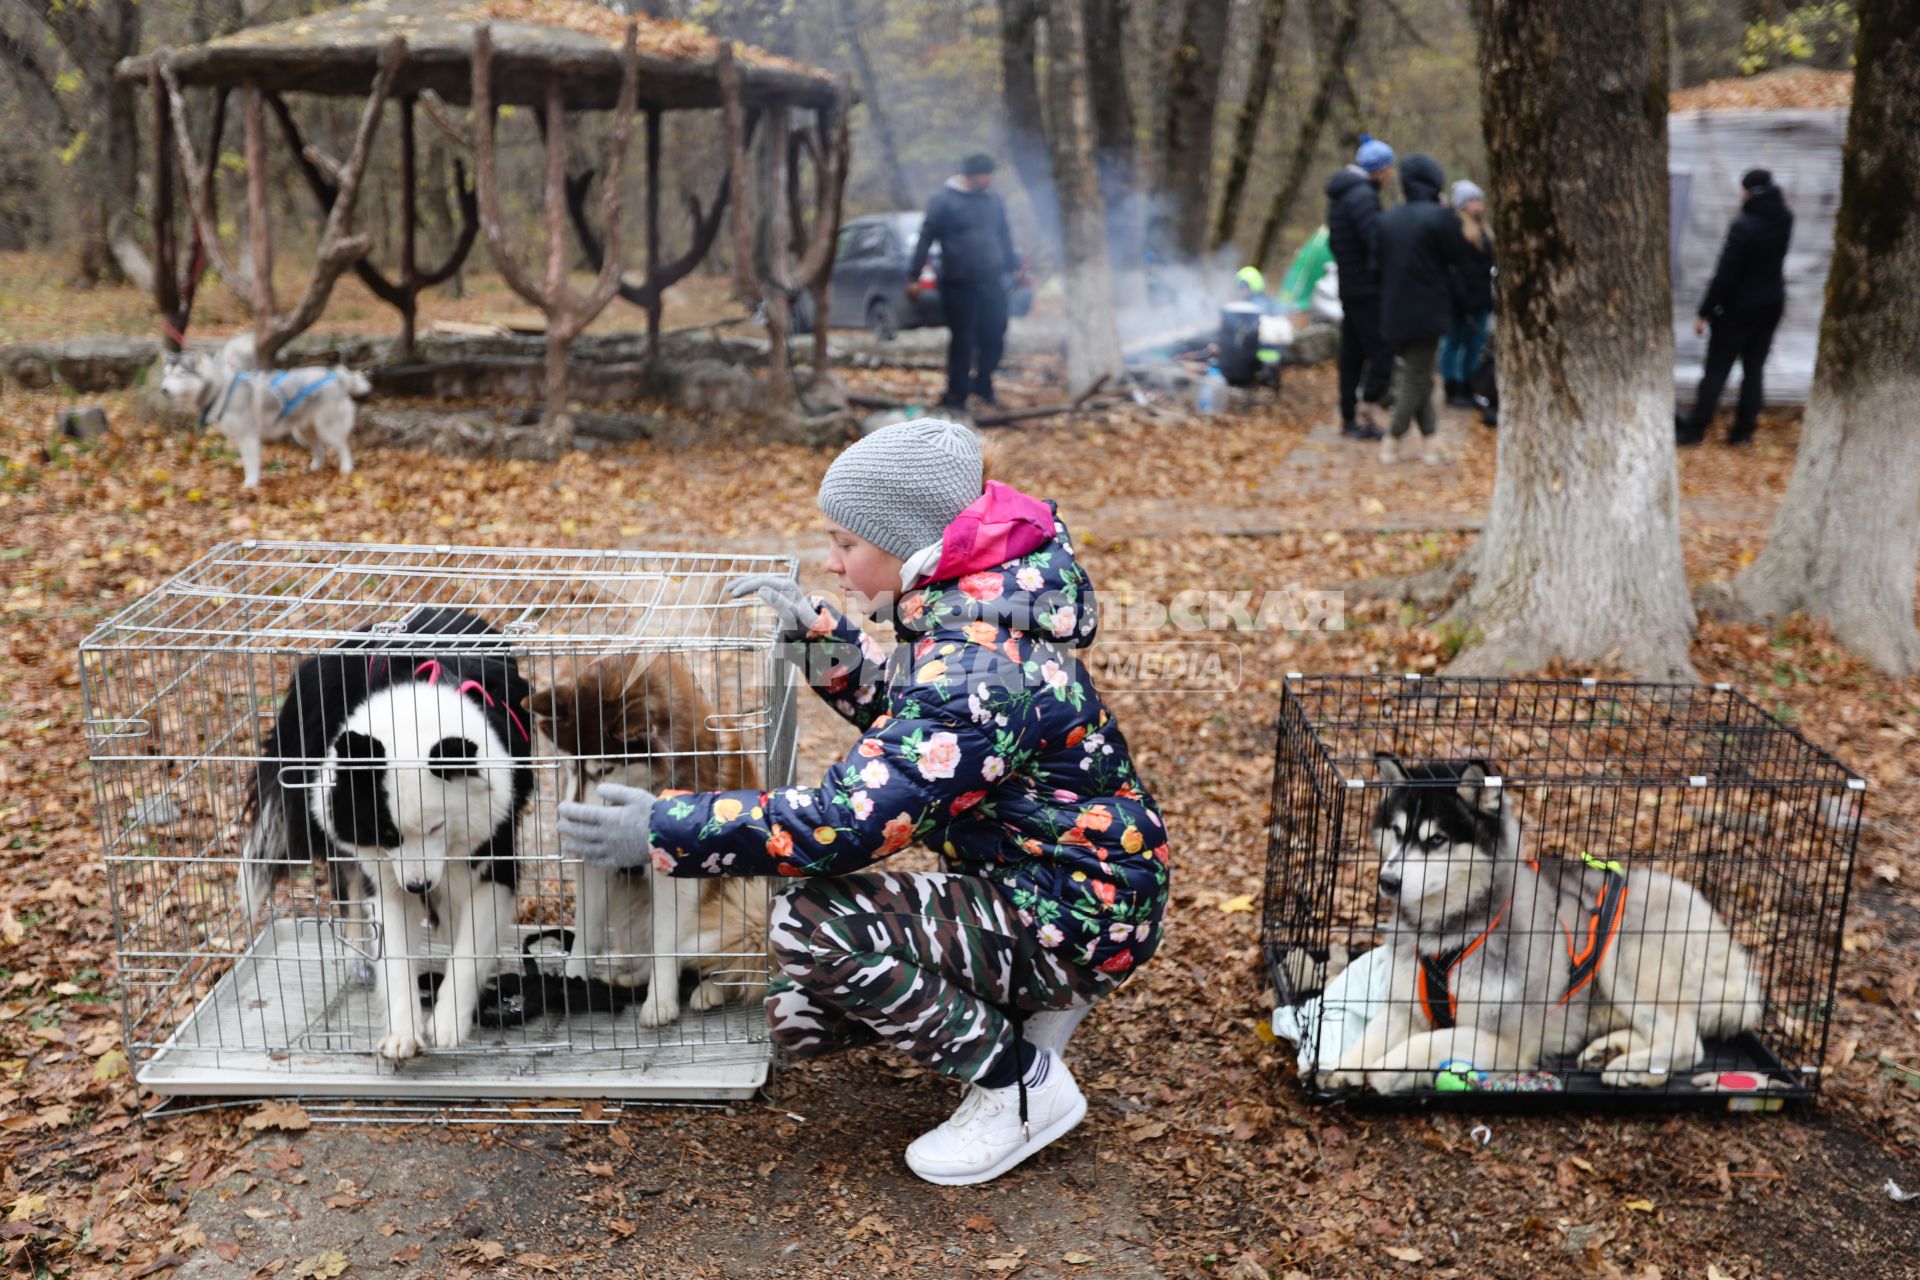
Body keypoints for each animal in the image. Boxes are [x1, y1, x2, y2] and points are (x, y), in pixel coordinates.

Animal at [533, 656, 771, 1028]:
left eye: (604, 770)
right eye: (569, 767)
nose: (570, 825)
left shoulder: (676, 881)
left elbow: (666, 943)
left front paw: (660, 1001)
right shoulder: (595, 862)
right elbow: (586, 934)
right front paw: (572, 983)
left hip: (745, 892)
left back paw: (711, 988)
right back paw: (631, 978)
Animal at [1328, 756, 1758, 1097]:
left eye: (1436, 839)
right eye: (1398, 833)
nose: (1388, 881)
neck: (1451, 932)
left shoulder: (1507, 1042)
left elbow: (1430, 1041)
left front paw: (1386, 1070)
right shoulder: (1406, 1007)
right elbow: (1375, 1033)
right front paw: (1346, 1066)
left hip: (1621, 958)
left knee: (1687, 1042)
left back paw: (1634, 1069)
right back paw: (1613, 1051)